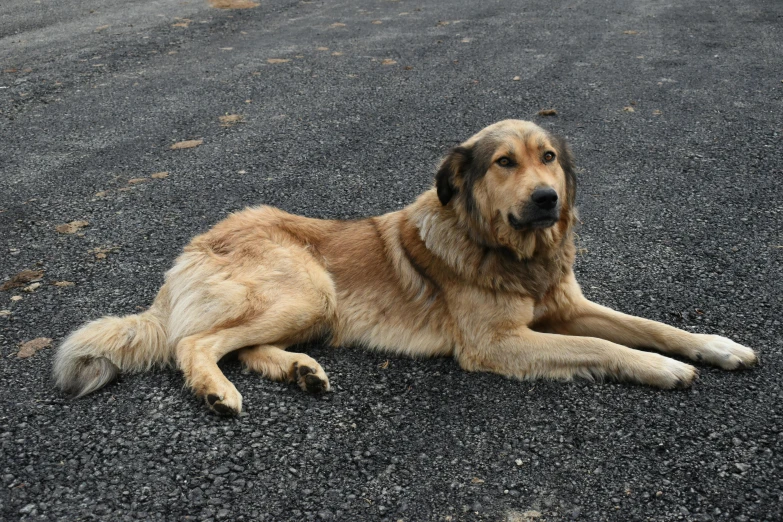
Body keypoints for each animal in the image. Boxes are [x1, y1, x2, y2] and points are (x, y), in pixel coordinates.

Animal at [53, 119, 760, 414]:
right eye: (504, 162)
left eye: (549, 158)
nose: (547, 200)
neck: (507, 252)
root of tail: (193, 248)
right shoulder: (498, 343)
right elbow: (610, 347)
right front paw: (664, 370)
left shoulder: (567, 305)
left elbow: (650, 326)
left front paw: (716, 347)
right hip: (308, 291)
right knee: (194, 344)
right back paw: (216, 392)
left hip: (310, 309)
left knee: (236, 344)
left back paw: (301, 372)